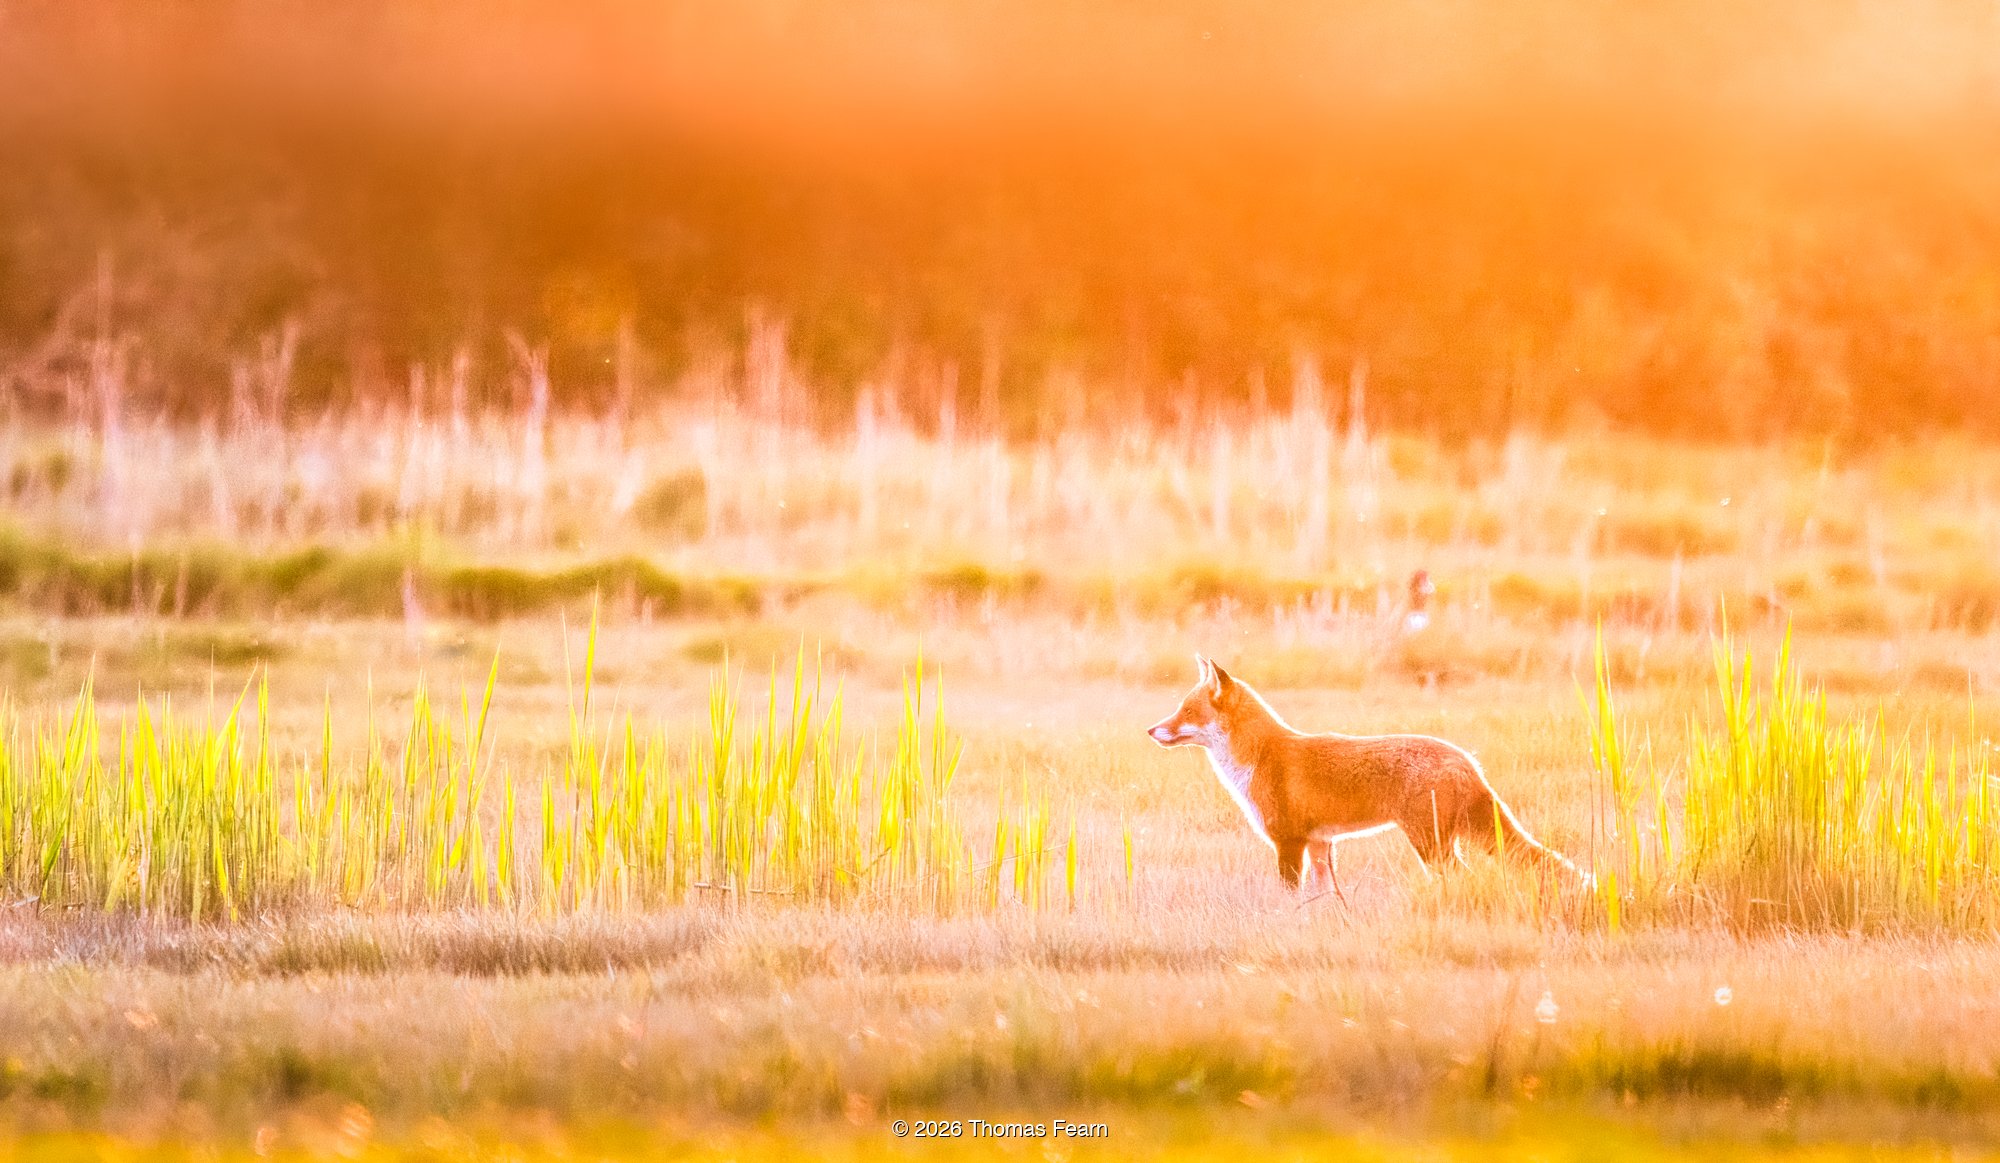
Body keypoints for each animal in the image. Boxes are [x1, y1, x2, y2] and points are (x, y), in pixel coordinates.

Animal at [1147, 655, 1589, 892]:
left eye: (1187, 711)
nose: (1151, 730)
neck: (1259, 759)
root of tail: (1468, 760)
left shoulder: (1288, 841)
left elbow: (1289, 894)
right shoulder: (1320, 843)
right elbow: (1322, 896)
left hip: (1429, 844)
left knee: (1459, 877)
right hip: (1438, 842)